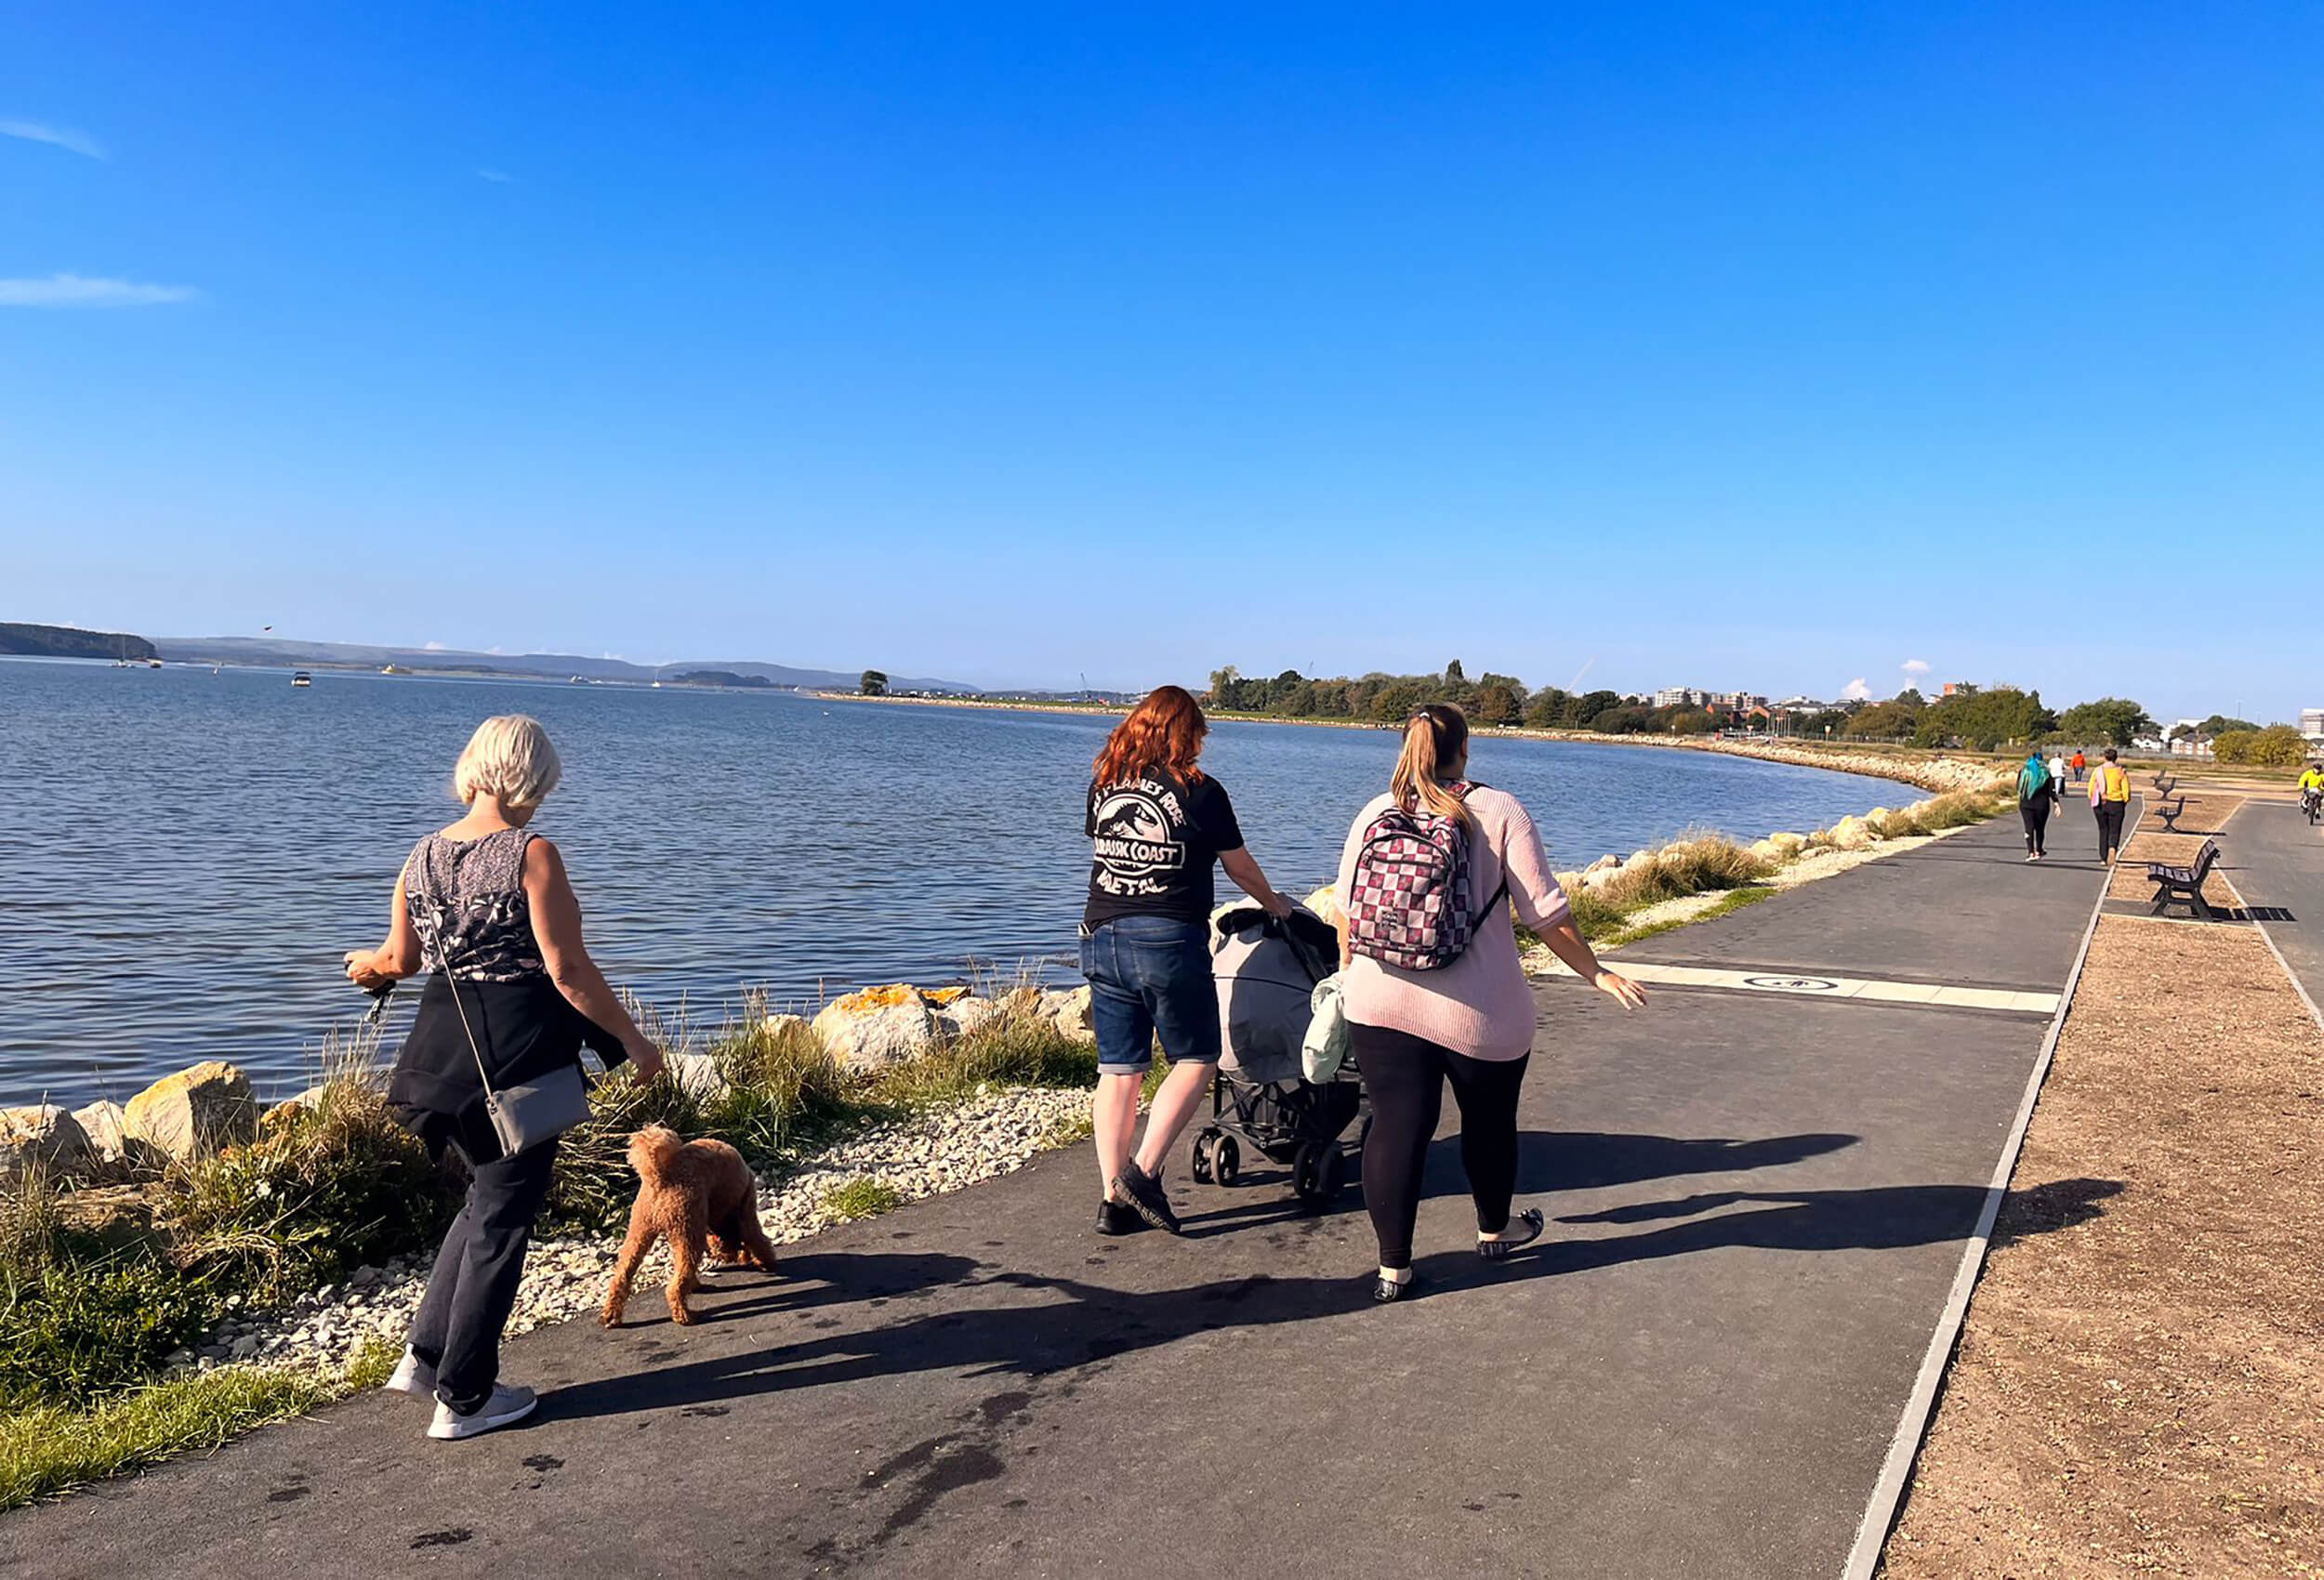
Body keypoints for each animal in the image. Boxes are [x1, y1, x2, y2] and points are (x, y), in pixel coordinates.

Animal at [600, 1115, 781, 1329]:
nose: (730, 1258)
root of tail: (660, 1176)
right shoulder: (747, 1208)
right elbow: (757, 1238)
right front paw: (767, 1262)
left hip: (641, 1231)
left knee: (622, 1276)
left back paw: (611, 1315)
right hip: (686, 1228)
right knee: (677, 1282)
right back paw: (684, 1315)